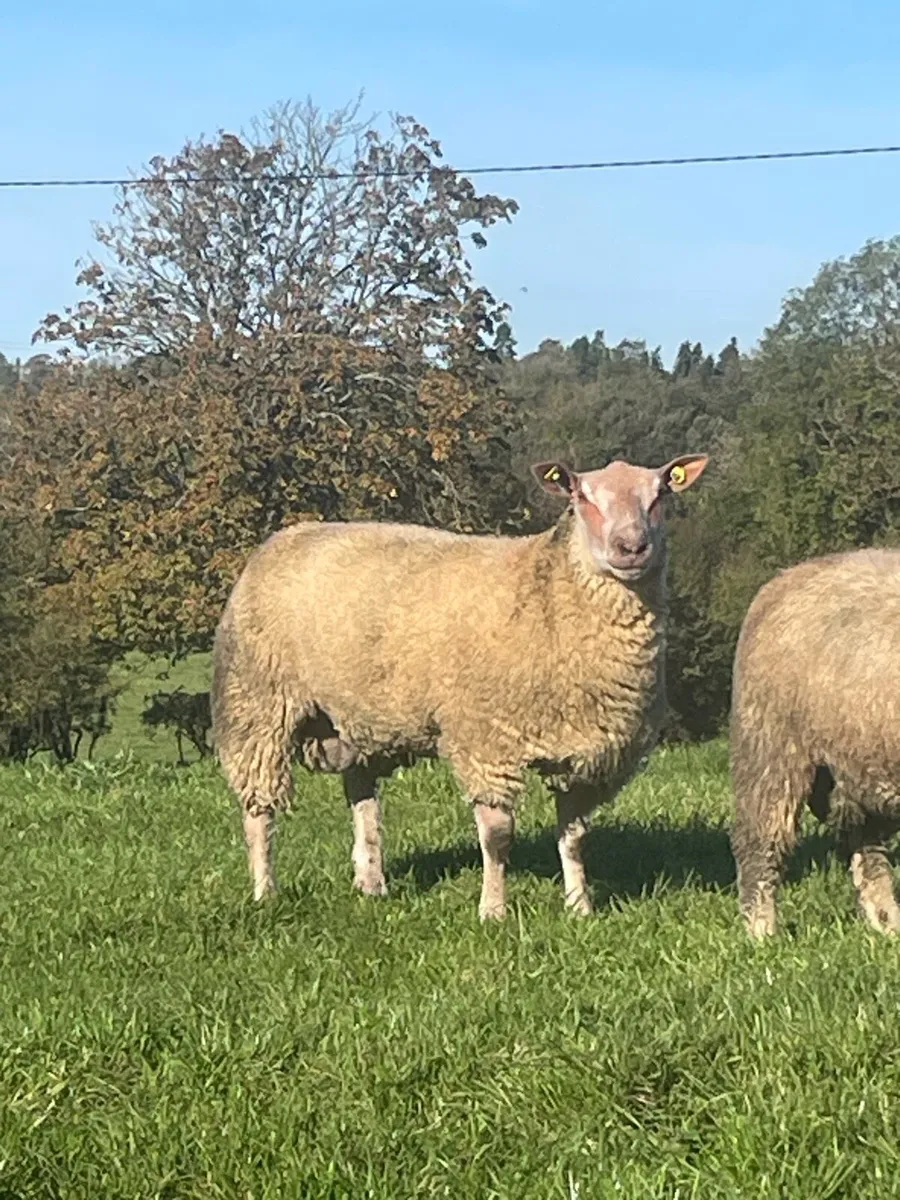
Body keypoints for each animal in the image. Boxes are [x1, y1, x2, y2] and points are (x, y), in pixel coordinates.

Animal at [211, 452, 709, 920]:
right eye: (581, 497)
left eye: (660, 495)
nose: (632, 546)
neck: (548, 593)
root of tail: (284, 537)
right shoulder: (486, 742)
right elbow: (497, 837)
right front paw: (493, 911)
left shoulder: (585, 754)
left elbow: (573, 836)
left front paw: (579, 906)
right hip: (257, 704)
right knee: (258, 810)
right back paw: (265, 892)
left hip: (358, 715)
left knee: (363, 798)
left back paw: (371, 883)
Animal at [730, 548, 900, 938]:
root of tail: (786, 576)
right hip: (770, 748)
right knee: (759, 842)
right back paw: (761, 932)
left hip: (862, 766)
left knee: (867, 850)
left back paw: (886, 924)